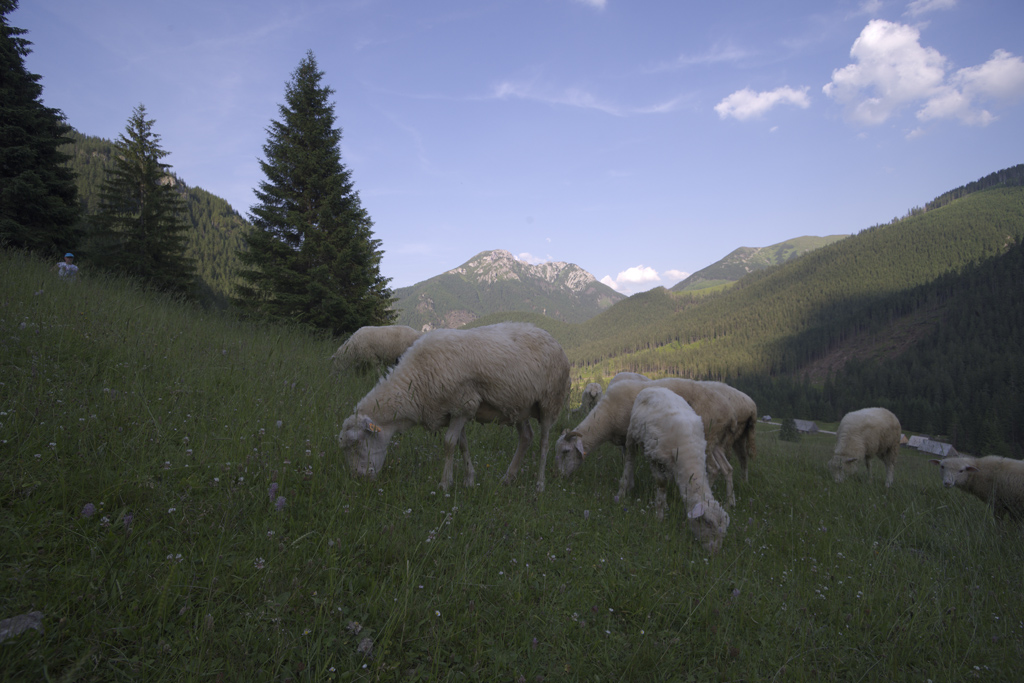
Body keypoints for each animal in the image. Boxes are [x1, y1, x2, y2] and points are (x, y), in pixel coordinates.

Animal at [338, 322, 570, 492]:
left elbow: (449, 443)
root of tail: (552, 339)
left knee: (544, 442)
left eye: (357, 443)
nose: (359, 478)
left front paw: (444, 484)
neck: (416, 380)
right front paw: (469, 480)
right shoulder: (455, 411)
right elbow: (462, 444)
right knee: (526, 437)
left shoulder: (464, 404)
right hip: (519, 407)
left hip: (550, 401)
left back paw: (539, 484)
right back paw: (508, 478)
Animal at [554, 377, 743, 506]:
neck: (606, 418)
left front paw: (624, 491)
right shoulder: (626, 441)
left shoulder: (631, 436)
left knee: (714, 468)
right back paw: (730, 502)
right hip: (716, 441)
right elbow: (628, 462)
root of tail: (731, 413)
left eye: (566, 451)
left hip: (708, 438)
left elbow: (629, 464)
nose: (560, 477)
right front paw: (629, 486)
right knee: (727, 468)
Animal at [626, 387, 730, 552]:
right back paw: (622, 490)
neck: (689, 454)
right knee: (629, 459)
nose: (714, 552)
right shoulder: (657, 459)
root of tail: (655, 387)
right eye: (707, 523)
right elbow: (662, 485)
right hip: (632, 433)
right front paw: (659, 517)